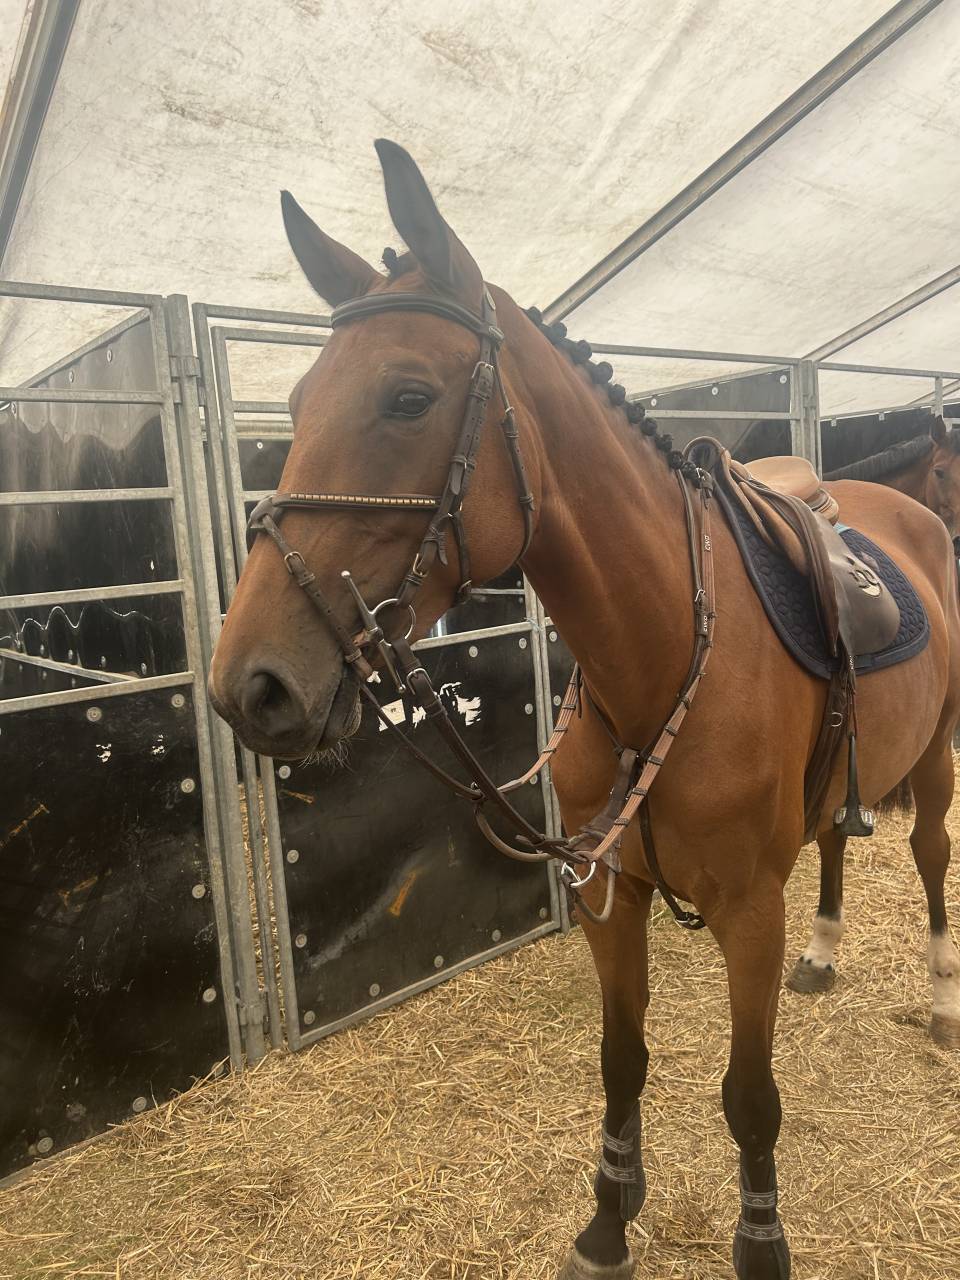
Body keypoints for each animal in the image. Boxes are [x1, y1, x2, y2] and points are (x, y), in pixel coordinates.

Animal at [208, 140, 960, 1280]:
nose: (249, 685)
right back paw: (829, 952)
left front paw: (760, 1242)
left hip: (945, 749)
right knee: (839, 833)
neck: (657, 658)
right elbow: (621, 1057)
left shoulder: (750, 912)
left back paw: (945, 993)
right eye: (293, 404)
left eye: (409, 397)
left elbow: (750, 1099)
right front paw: (609, 1217)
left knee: (930, 855)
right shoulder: (614, 893)